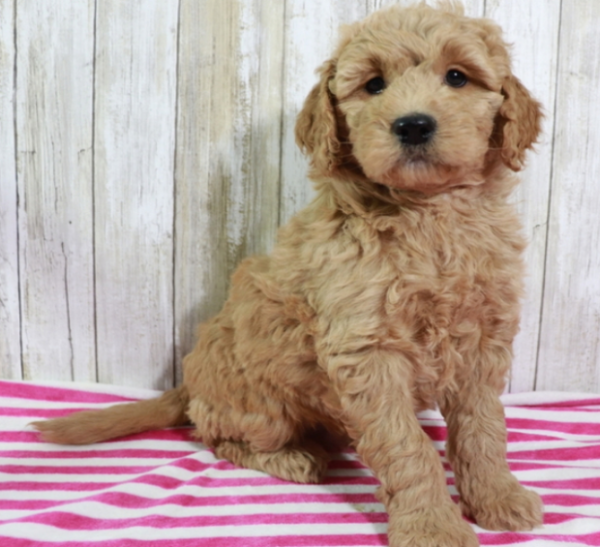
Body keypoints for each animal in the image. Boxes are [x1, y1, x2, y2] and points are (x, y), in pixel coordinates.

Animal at [35, 4, 548, 547]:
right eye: (374, 85)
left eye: (457, 77)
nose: (412, 125)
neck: (428, 214)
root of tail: (188, 382)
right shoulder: (367, 350)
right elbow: (408, 446)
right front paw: (432, 526)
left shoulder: (483, 341)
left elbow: (483, 428)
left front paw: (498, 498)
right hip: (261, 408)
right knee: (217, 435)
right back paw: (296, 459)